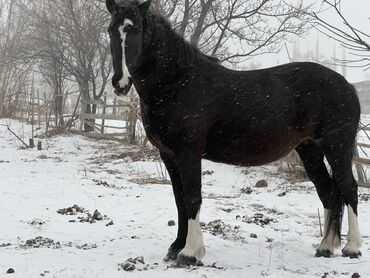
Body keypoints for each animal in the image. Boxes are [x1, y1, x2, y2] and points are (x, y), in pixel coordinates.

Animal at [105, 0, 362, 264]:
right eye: (111, 31)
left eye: (135, 30)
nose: (120, 83)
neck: (179, 82)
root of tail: (347, 86)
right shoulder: (168, 155)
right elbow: (179, 199)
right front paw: (176, 247)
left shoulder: (188, 152)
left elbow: (192, 197)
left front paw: (190, 252)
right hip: (310, 149)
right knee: (328, 191)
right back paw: (325, 247)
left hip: (337, 146)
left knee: (349, 188)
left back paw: (351, 247)